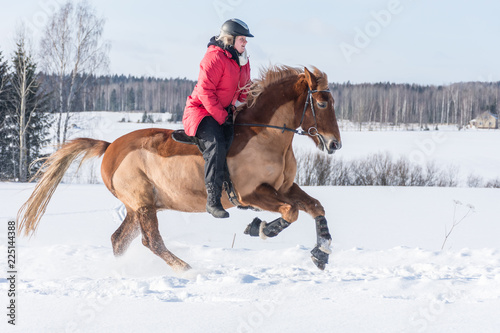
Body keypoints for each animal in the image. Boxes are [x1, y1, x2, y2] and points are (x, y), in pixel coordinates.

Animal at [17, 65, 342, 270]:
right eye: (322, 103)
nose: (335, 144)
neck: (265, 135)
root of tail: (109, 147)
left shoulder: (284, 188)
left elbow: (315, 207)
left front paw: (322, 254)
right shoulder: (253, 194)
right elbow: (292, 212)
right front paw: (259, 228)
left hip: (138, 207)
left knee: (119, 240)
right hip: (142, 203)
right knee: (151, 241)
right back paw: (186, 269)